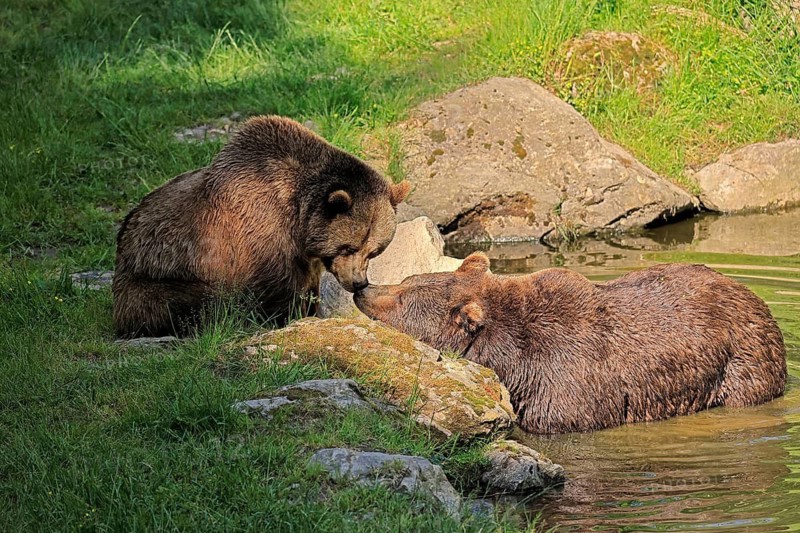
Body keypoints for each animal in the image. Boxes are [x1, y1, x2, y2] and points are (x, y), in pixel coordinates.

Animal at [113, 115, 411, 338]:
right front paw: (287, 318)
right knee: (196, 302)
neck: (298, 217)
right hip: (158, 276)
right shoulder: (261, 231)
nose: (358, 282)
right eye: (348, 247)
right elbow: (278, 287)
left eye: (374, 251)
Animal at [353, 253, 787, 434]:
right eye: (406, 280)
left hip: (741, 362)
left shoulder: (565, 385)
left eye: (403, 297)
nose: (363, 288)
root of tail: (755, 297)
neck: (512, 360)